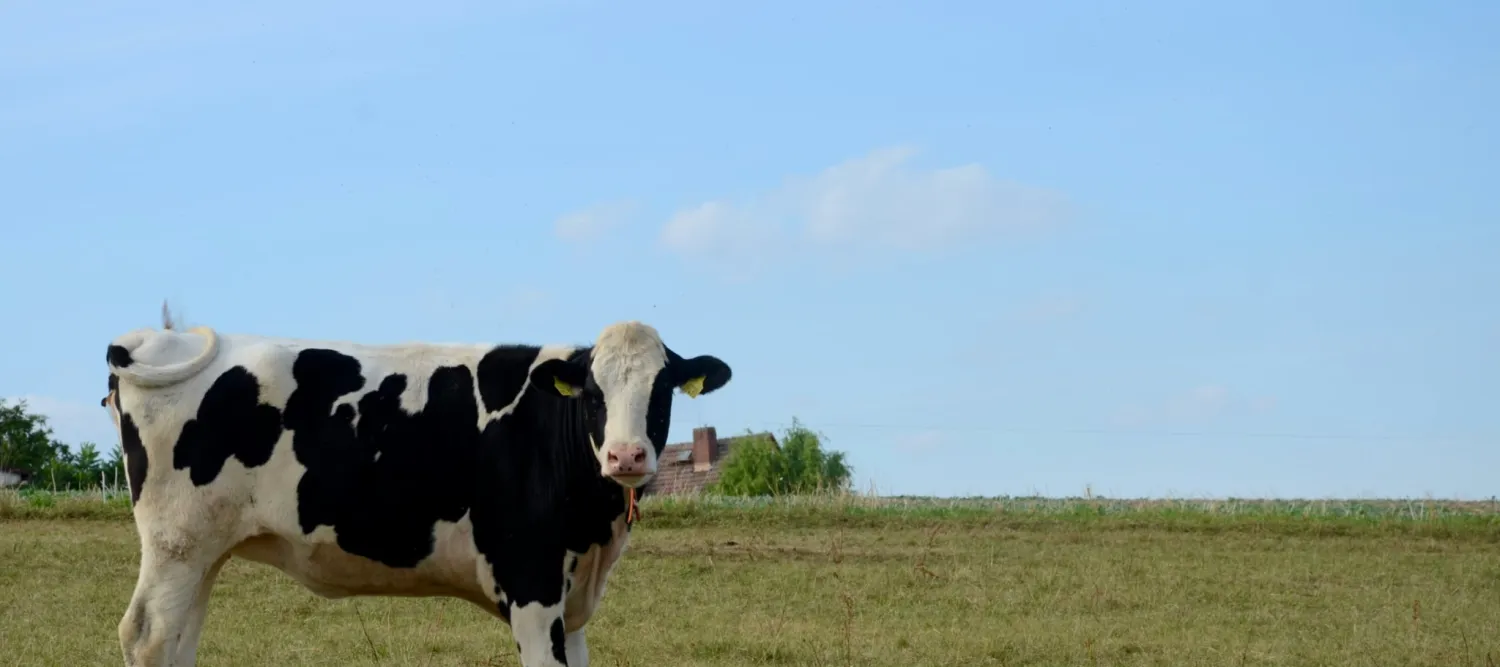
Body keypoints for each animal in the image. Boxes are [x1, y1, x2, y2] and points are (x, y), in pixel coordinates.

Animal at [101, 307, 732, 666]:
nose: (627, 455)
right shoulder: (530, 583)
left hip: (205, 551)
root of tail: (156, 340)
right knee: (147, 636)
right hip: (177, 544)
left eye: (662, 389)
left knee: (180, 639)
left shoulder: (570, 597)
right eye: (595, 393)